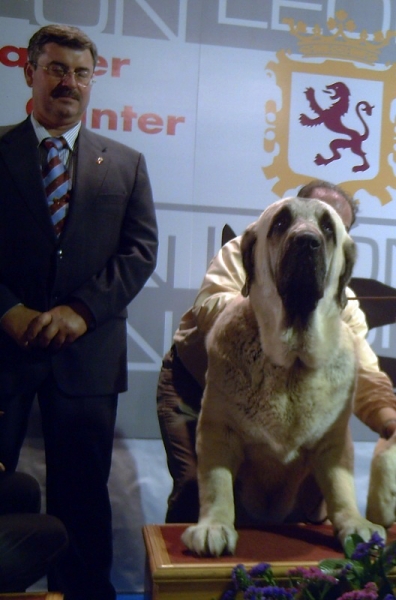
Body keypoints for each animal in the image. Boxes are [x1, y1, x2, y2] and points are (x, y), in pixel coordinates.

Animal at [182, 197, 384, 556]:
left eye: (327, 227)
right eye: (280, 223)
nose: (306, 241)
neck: (291, 365)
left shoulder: (334, 442)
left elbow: (341, 487)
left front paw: (355, 524)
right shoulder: (218, 431)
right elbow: (217, 484)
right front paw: (213, 526)